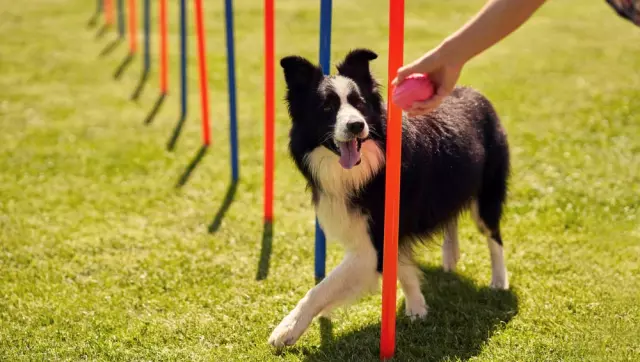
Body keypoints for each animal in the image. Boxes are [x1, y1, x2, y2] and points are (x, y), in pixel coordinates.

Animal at [268, 49, 510, 346]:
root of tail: (475, 93)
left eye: (359, 103)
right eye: (326, 107)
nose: (356, 125)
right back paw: (450, 257)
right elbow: (402, 267)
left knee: (493, 235)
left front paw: (286, 329)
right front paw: (417, 306)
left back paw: (499, 280)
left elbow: (322, 288)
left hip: (488, 191)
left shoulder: (372, 244)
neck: (365, 170)